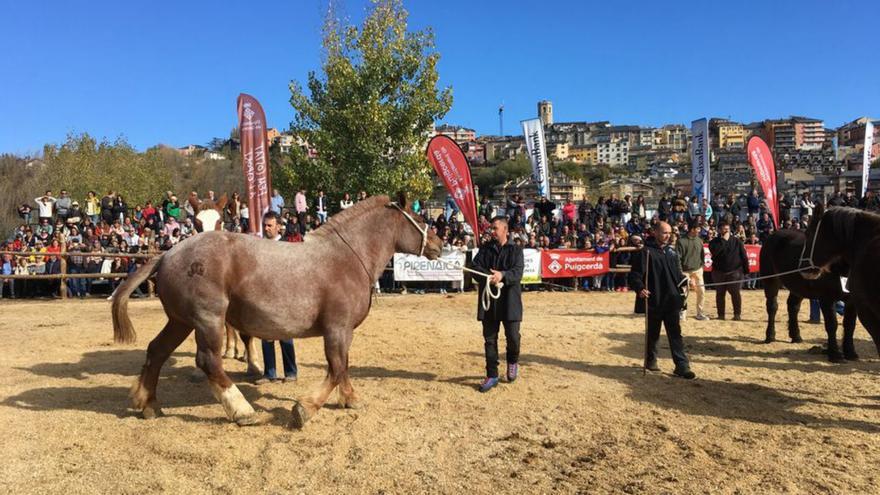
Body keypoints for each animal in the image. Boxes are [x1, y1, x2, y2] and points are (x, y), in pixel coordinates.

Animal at [111, 196, 440, 428]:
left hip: (181, 322)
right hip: (207, 320)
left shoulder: (342, 331)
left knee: (157, 351)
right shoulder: (337, 328)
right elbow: (336, 369)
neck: (346, 258)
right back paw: (243, 411)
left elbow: (343, 367)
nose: (438, 243)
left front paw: (350, 399)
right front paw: (303, 410)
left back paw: (149, 404)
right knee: (208, 361)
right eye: (419, 218)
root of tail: (167, 254)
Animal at [760, 229, 856, 360]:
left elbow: (850, 325)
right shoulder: (826, 299)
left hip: (797, 286)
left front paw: (851, 353)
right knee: (772, 307)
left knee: (793, 307)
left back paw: (796, 336)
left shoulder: (852, 301)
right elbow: (832, 324)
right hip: (771, 280)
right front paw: (835, 354)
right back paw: (770, 336)